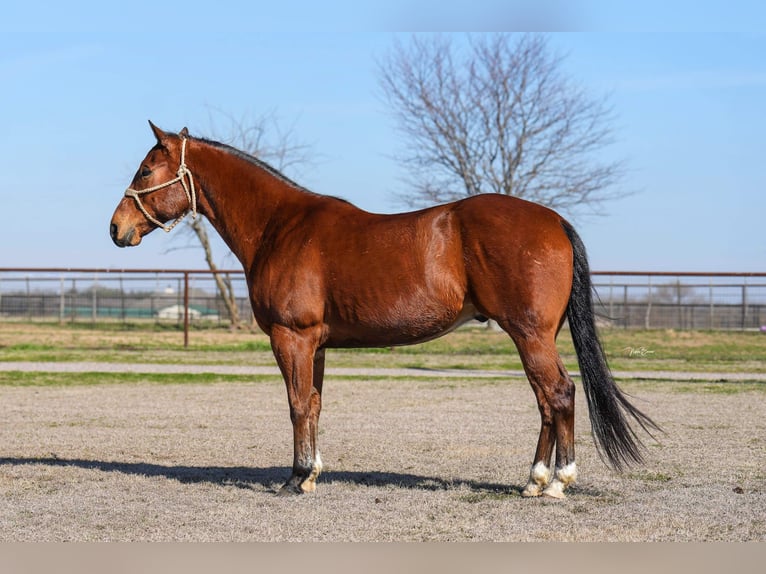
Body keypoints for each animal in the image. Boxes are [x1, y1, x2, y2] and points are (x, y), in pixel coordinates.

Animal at [109, 122, 660, 500]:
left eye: (145, 170)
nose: (116, 228)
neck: (279, 226)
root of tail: (553, 220)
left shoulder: (292, 337)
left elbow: (296, 404)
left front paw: (294, 479)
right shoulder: (316, 344)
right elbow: (314, 403)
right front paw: (311, 475)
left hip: (530, 334)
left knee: (559, 394)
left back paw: (557, 482)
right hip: (534, 337)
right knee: (547, 401)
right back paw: (534, 480)